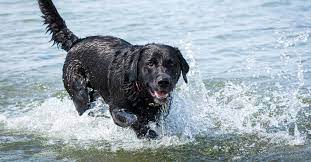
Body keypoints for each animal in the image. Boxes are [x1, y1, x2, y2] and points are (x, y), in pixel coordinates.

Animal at [37, 0, 189, 139]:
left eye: (172, 64)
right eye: (150, 64)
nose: (163, 81)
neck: (138, 91)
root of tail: (77, 41)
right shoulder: (116, 109)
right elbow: (132, 120)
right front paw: (145, 131)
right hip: (78, 91)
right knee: (84, 106)